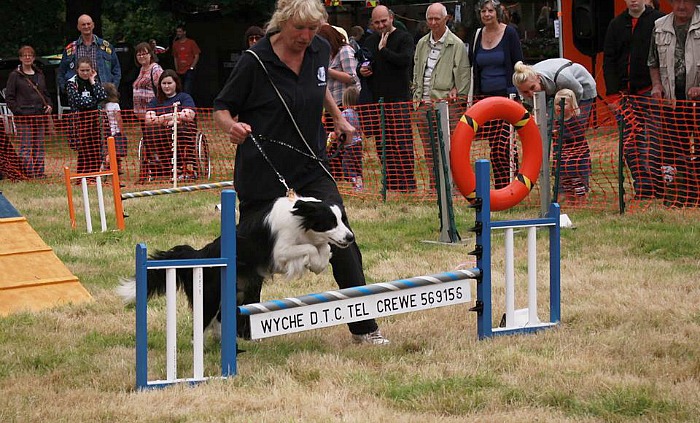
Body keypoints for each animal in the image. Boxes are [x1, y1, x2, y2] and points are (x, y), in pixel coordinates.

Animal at [118, 196, 356, 338]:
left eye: (343, 220)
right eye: (330, 222)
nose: (350, 237)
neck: (301, 219)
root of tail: (199, 254)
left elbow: (324, 247)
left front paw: (319, 263)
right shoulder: (280, 252)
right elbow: (311, 248)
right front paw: (315, 262)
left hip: (234, 292)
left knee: (220, 319)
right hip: (210, 296)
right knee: (202, 324)